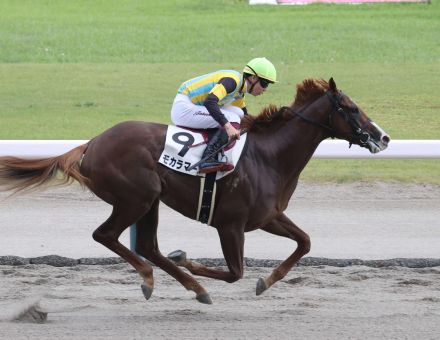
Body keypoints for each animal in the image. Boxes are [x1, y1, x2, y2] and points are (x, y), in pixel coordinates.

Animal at [1, 78, 390, 304]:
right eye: (352, 108)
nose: (383, 137)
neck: (269, 156)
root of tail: (91, 144)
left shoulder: (268, 216)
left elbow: (305, 242)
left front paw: (266, 281)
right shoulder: (230, 225)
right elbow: (235, 272)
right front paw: (190, 261)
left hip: (150, 201)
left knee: (147, 246)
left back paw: (188, 286)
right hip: (136, 197)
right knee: (106, 235)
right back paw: (160, 279)